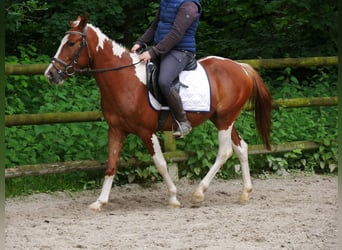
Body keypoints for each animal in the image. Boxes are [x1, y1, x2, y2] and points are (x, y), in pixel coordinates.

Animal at [45, 13, 272, 211]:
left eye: (71, 43)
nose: (50, 74)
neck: (124, 80)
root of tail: (241, 68)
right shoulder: (116, 130)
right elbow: (111, 165)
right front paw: (99, 202)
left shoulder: (147, 132)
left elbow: (160, 163)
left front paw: (173, 198)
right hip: (222, 119)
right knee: (241, 148)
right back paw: (245, 192)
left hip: (225, 119)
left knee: (224, 152)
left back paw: (199, 192)